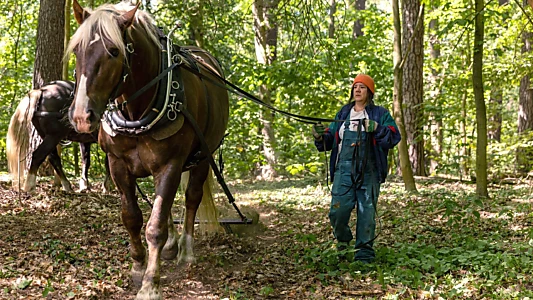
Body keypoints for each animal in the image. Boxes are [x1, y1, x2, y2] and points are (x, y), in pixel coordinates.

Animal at [66, 0, 229, 298]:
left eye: (114, 51)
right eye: (76, 51)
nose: (82, 116)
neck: (137, 111)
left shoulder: (170, 165)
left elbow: (155, 226)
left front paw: (150, 283)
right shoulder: (117, 163)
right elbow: (132, 217)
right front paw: (138, 267)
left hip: (202, 156)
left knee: (192, 197)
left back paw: (186, 250)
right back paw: (171, 246)